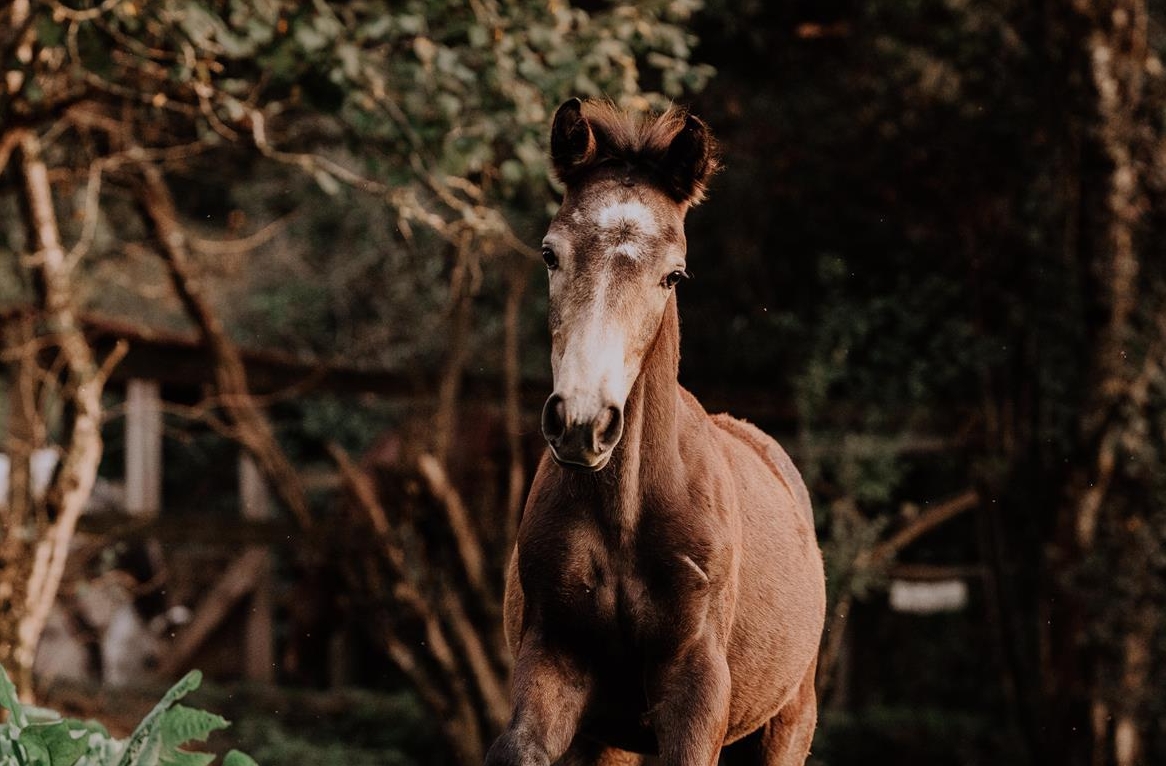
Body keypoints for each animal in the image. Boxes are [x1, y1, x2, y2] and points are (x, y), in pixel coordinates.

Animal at [484, 99, 826, 766]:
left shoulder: (696, 690)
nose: (582, 423)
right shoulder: (552, 662)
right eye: (550, 254)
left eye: (674, 275)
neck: (626, 515)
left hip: (789, 719)